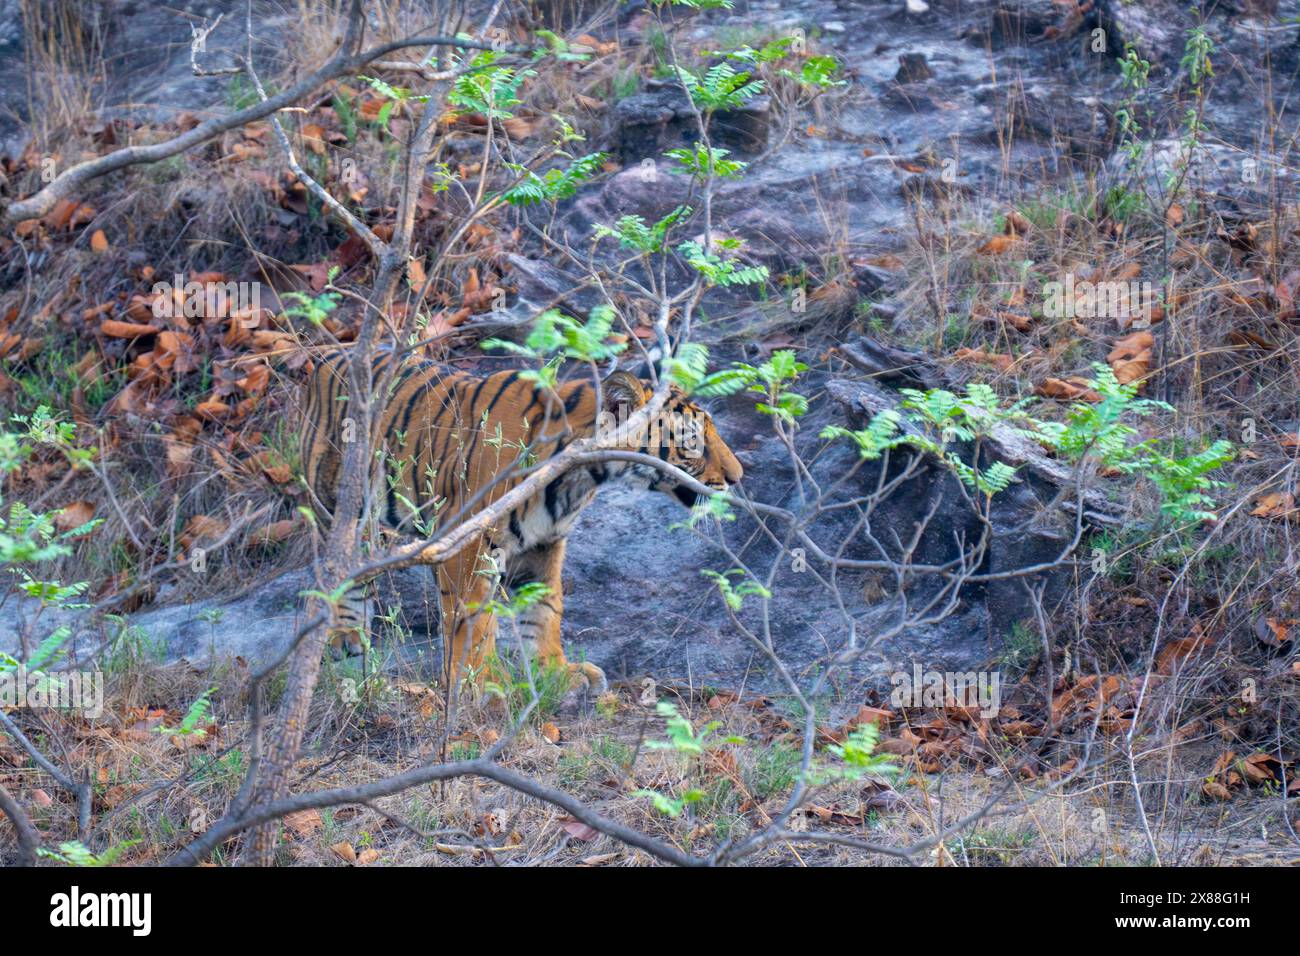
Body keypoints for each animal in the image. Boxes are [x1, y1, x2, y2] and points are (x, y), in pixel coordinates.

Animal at [297, 348, 743, 691]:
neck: (582, 474)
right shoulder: (468, 543)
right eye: (692, 442)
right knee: (338, 569)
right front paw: (481, 686)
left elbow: (545, 611)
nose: (738, 477)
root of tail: (327, 356)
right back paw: (342, 635)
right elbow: (473, 621)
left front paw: (558, 672)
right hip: (335, 504)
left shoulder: (544, 542)